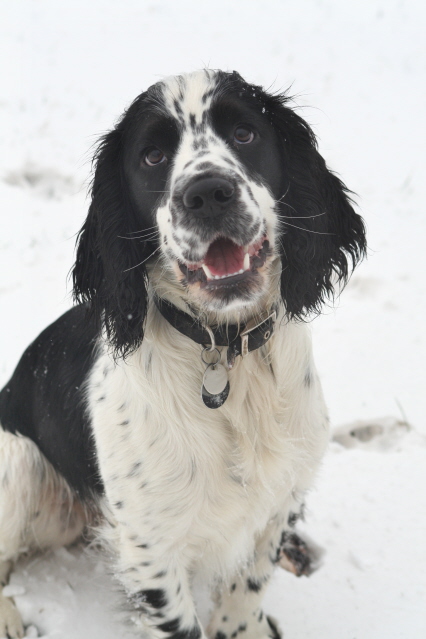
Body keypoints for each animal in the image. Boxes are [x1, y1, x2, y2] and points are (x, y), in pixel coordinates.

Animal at [0, 70, 366, 639]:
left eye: (244, 133)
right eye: (152, 157)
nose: (208, 194)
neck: (227, 351)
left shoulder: (276, 504)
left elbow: (246, 592)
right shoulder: (151, 550)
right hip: (20, 465)